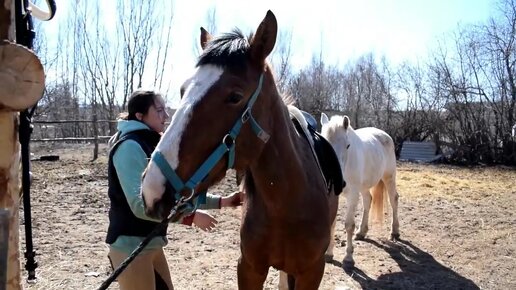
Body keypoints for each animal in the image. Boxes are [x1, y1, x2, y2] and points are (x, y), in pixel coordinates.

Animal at [140, 10, 338, 288]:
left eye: (234, 96)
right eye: (182, 90)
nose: (152, 189)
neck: (286, 203)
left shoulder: (311, 272)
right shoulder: (249, 268)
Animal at [320, 112, 402, 268]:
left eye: (348, 146)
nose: (339, 182)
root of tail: (384, 134)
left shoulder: (352, 195)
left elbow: (349, 225)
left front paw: (348, 258)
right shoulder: (331, 195)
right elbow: (332, 223)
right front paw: (328, 254)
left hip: (389, 178)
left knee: (394, 200)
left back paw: (394, 232)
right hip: (364, 187)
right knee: (368, 200)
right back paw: (362, 232)